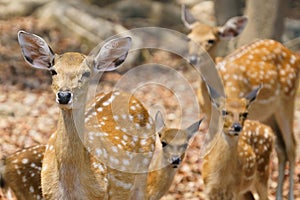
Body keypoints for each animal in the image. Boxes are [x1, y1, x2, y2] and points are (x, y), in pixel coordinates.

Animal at [18, 30, 159, 199]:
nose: (64, 95)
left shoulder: (102, 194)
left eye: (86, 73)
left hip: (144, 166)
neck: (70, 186)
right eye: (53, 71)